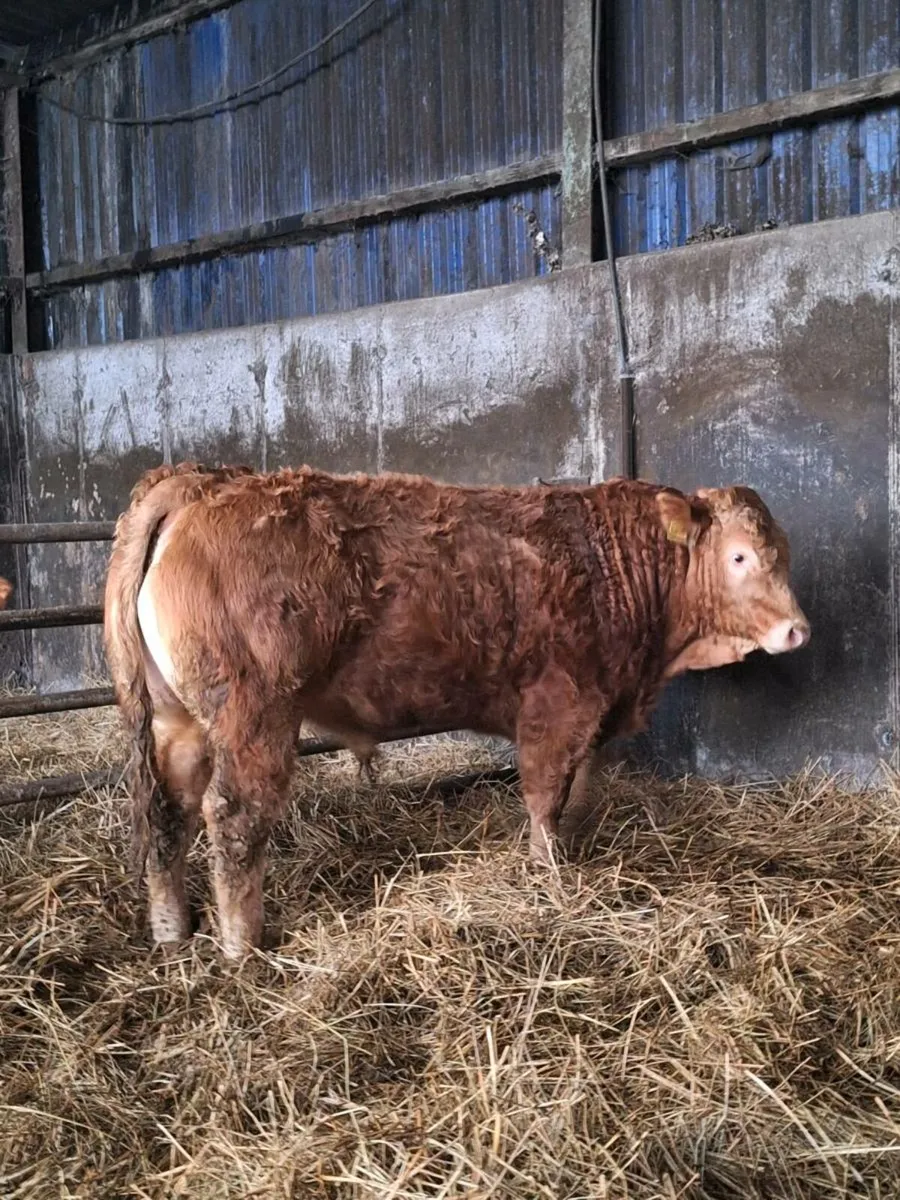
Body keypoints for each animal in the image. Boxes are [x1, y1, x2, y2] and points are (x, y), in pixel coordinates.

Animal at [104, 461, 810, 959]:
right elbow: (545, 797)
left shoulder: (596, 714)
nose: (797, 631)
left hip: (176, 720)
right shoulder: (560, 703)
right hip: (255, 714)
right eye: (740, 556)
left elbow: (579, 791)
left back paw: (173, 928)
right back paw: (241, 944)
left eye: (785, 552)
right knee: (234, 816)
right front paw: (550, 879)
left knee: (167, 809)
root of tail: (203, 482)